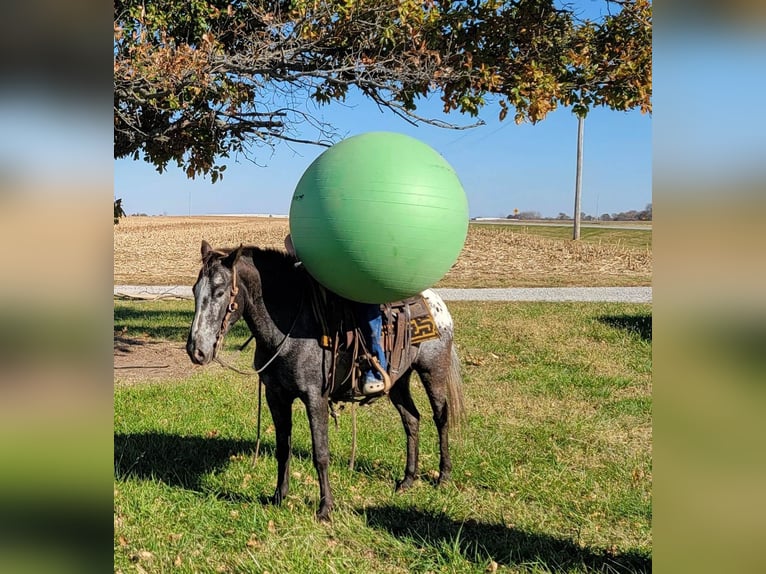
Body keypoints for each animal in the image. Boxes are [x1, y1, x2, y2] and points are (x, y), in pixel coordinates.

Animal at [186, 241, 464, 524]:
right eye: (195, 290)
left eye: (220, 292)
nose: (196, 351)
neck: (287, 327)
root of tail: (436, 302)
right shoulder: (276, 396)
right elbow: (283, 448)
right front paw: (278, 497)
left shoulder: (314, 397)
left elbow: (321, 453)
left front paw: (325, 508)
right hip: (398, 381)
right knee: (411, 419)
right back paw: (407, 480)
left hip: (432, 371)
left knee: (441, 417)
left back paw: (443, 476)